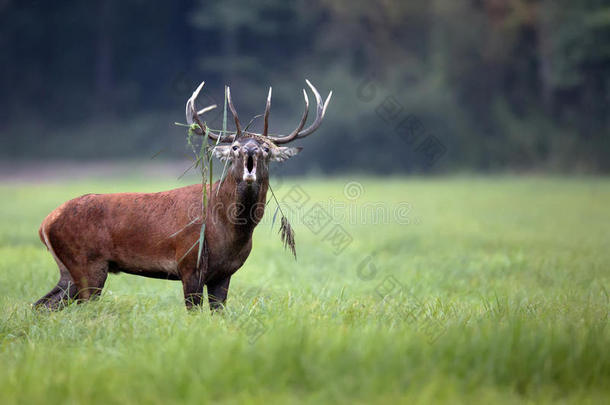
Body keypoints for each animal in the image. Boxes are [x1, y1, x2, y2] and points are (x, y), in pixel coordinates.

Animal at [32, 80, 330, 310]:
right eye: (234, 146)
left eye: (267, 148)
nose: (250, 150)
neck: (228, 230)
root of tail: (45, 223)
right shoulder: (189, 263)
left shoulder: (224, 274)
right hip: (87, 264)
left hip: (69, 270)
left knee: (42, 305)